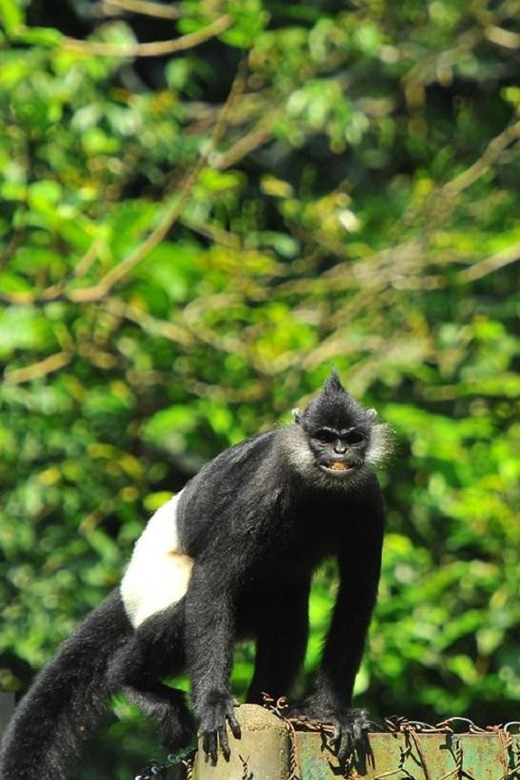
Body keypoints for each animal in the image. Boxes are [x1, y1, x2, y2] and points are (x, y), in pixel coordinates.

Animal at [0, 372, 390, 780]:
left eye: (353, 438)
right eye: (324, 438)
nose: (340, 453)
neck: (318, 488)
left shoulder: (368, 498)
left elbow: (356, 595)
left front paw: (332, 714)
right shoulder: (263, 486)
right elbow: (214, 576)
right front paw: (214, 702)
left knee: (287, 621)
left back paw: (274, 707)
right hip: (153, 586)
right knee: (180, 614)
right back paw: (130, 680)